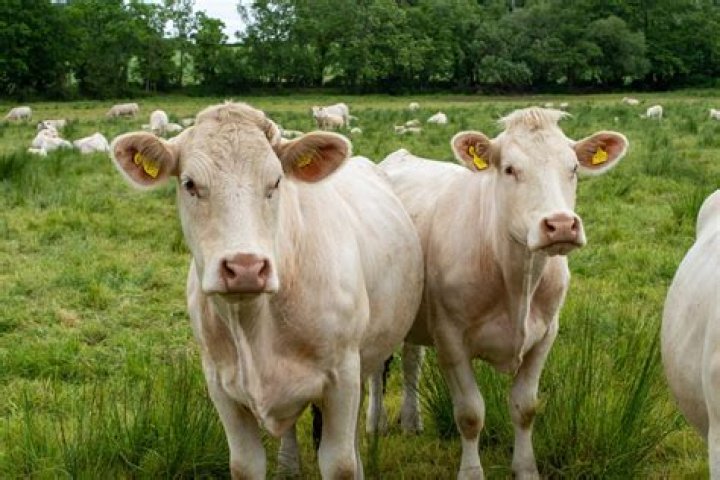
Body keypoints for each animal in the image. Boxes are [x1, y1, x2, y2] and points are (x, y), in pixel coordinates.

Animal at [108, 101, 423, 479]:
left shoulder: (342, 378)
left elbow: (341, 463)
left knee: (403, 365)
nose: (245, 267)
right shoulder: (221, 386)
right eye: (189, 184)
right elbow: (246, 465)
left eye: (275, 181)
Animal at [370, 108, 628, 479]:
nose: (561, 225)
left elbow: (525, 407)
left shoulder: (546, 334)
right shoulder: (450, 338)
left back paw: (411, 421)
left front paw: (526, 469)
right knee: (378, 367)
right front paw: (471, 472)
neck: (517, 281)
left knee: (410, 361)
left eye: (573, 168)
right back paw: (375, 422)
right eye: (509, 169)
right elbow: (470, 413)